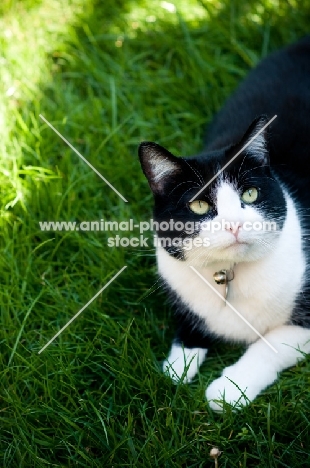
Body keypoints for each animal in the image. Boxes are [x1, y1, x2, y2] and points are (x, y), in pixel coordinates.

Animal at [139, 35, 310, 410]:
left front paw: (229, 390)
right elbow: (189, 326)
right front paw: (177, 365)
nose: (234, 225)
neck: (228, 273)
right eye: (200, 205)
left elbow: (270, 343)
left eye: (250, 194)